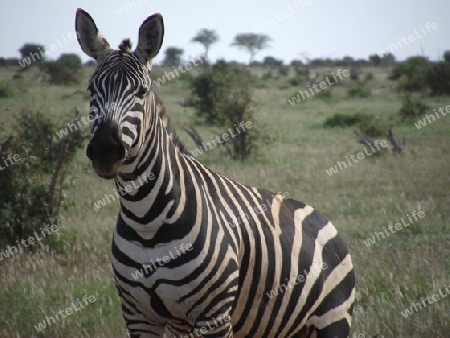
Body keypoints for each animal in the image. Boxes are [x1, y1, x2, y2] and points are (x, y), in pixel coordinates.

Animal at [74, 7, 356, 338]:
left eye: (142, 91)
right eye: (91, 89)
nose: (105, 149)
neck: (145, 219)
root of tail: (323, 218)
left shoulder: (215, 316)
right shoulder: (138, 316)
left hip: (333, 320)